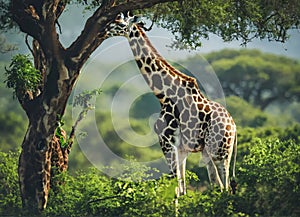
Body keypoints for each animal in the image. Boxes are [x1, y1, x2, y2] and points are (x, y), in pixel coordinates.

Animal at [106, 14, 238, 197]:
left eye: (119, 22)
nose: (104, 30)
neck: (164, 96)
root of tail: (233, 127)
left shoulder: (167, 141)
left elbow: (175, 186)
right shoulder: (181, 148)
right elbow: (182, 189)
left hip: (219, 151)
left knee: (225, 186)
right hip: (216, 151)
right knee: (218, 184)